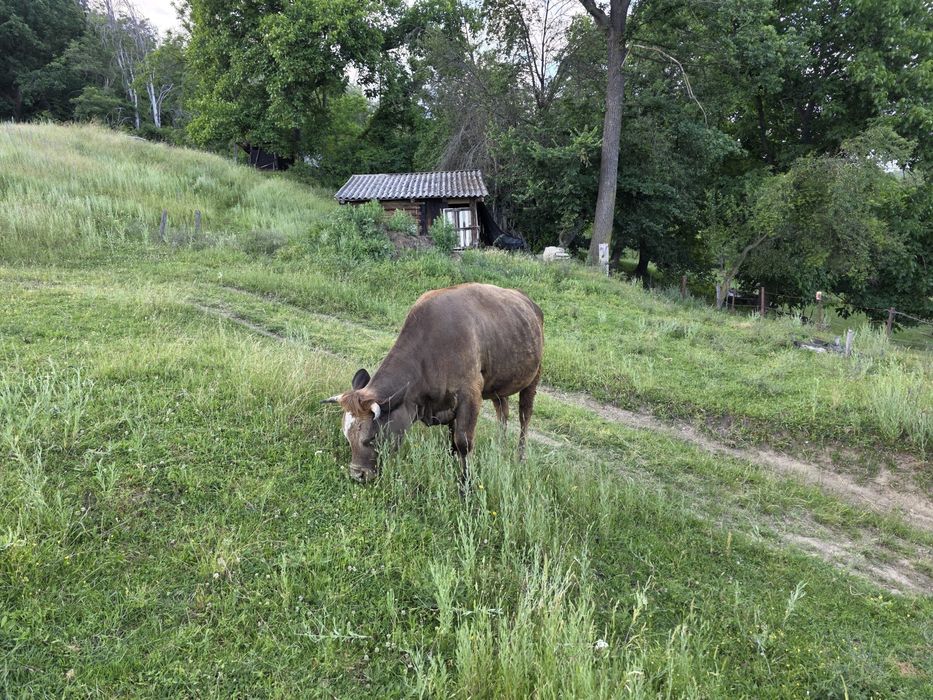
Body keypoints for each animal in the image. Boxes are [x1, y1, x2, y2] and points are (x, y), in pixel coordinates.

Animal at [323, 283, 544, 490]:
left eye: (372, 438)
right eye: (347, 436)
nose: (357, 475)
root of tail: (529, 301)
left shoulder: (470, 395)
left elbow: (462, 442)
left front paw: (465, 483)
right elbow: (452, 438)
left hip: (533, 377)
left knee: (524, 417)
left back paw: (519, 457)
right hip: (499, 384)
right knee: (502, 413)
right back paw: (500, 447)